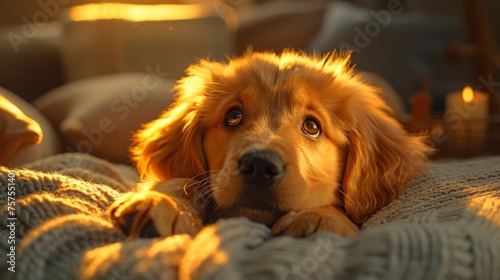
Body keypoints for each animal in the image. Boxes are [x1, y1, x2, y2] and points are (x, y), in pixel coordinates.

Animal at [108, 50, 430, 238]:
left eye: (312, 126)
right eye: (234, 116)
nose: (260, 165)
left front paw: (322, 218)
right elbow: (182, 180)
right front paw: (163, 203)